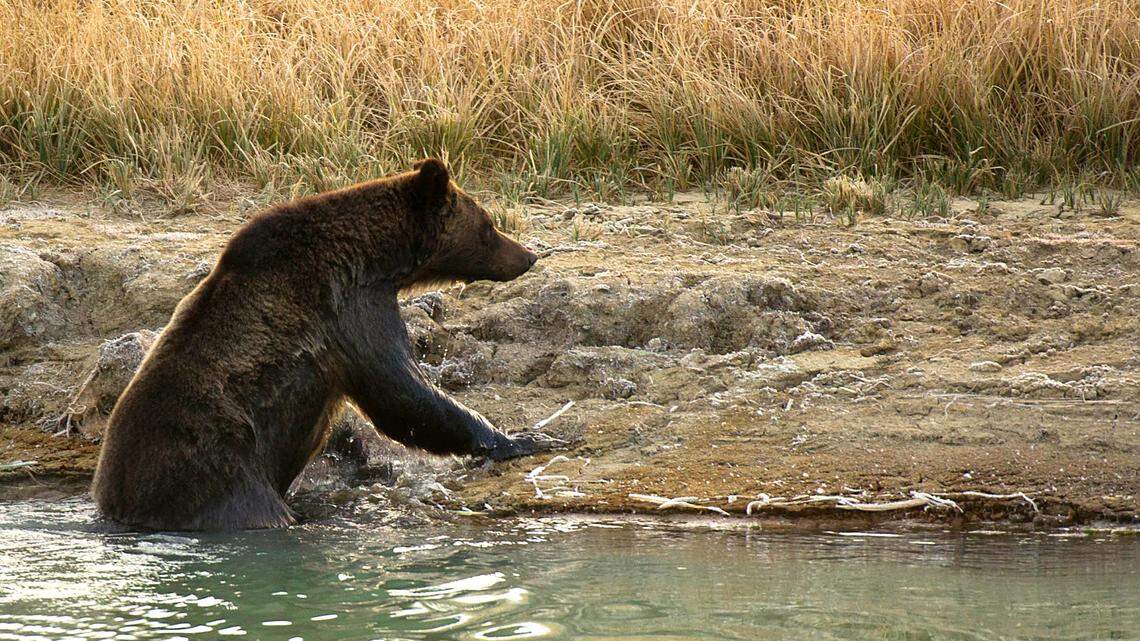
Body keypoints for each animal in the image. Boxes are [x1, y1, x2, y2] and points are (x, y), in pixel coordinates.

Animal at [92, 159, 553, 531]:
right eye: (489, 225)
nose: (529, 255)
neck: (373, 257)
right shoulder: (349, 307)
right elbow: (402, 392)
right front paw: (521, 438)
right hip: (217, 474)